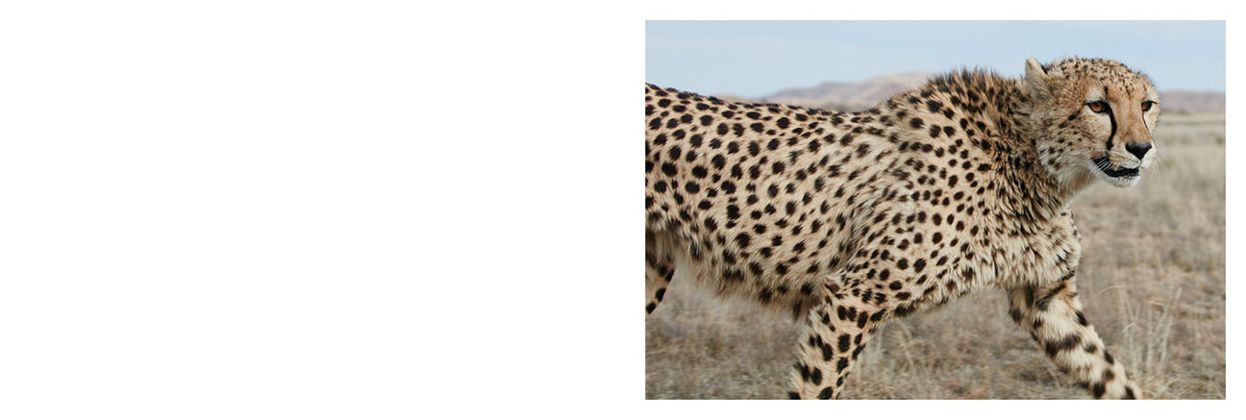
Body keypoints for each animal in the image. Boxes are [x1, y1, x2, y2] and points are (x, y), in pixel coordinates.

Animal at [644, 57, 1158, 399]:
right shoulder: (854, 295)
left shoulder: (1045, 297)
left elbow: (1107, 373)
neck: (1029, 159)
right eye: (1097, 106)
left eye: (1147, 104)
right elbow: (816, 385)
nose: (1141, 148)